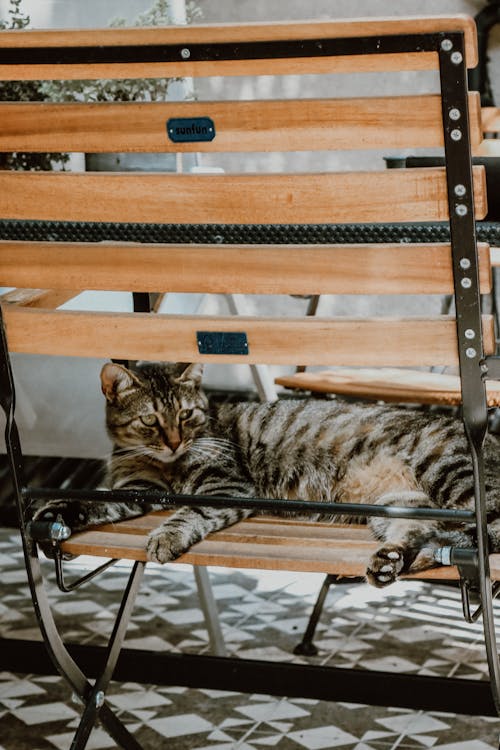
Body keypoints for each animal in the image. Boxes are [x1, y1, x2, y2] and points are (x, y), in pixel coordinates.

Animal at [36, 362, 500, 588]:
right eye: (151, 420)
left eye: (185, 415)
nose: (174, 441)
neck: (163, 464)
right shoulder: (136, 490)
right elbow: (92, 500)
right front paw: (55, 516)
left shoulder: (224, 485)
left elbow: (188, 512)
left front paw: (166, 536)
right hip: (399, 507)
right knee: (431, 538)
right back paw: (391, 562)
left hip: (453, 477)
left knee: (478, 536)